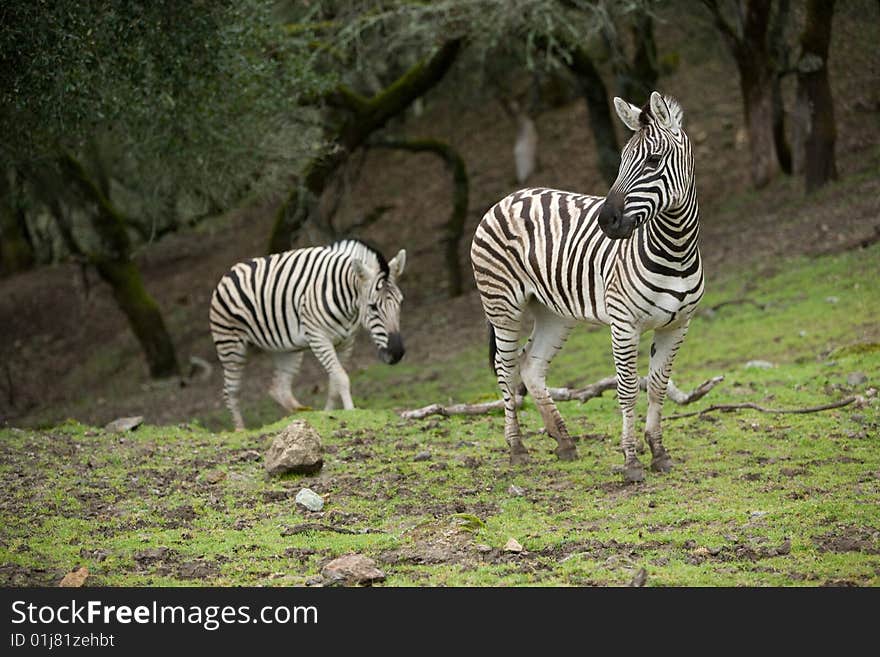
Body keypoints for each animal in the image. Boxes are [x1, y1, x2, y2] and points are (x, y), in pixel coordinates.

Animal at [211, 238, 408, 428]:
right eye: (373, 307)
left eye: (400, 302)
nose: (396, 353)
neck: (346, 303)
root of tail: (230, 272)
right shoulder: (319, 338)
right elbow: (341, 378)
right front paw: (351, 412)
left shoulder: (346, 343)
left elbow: (334, 383)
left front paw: (328, 414)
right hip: (230, 344)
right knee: (231, 391)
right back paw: (240, 430)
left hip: (287, 348)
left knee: (278, 389)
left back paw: (302, 412)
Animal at [470, 92, 704, 482]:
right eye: (622, 160)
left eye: (653, 160)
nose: (606, 221)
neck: (676, 250)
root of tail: (509, 196)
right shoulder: (624, 324)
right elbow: (628, 389)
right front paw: (631, 461)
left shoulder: (678, 326)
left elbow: (657, 387)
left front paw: (658, 453)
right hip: (502, 304)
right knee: (505, 367)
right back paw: (517, 449)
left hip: (554, 312)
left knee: (531, 365)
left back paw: (564, 442)